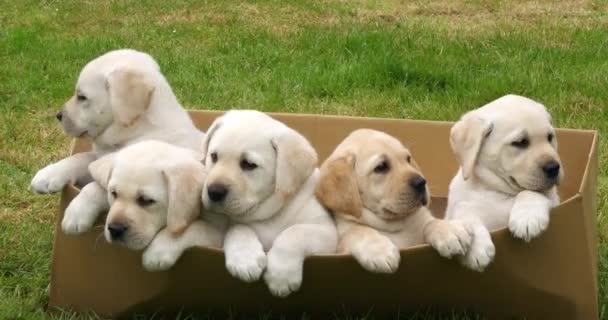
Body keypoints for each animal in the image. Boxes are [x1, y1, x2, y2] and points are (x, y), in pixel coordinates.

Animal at [31, 49, 202, 235]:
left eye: (82, 97)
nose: (58, 116)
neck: (138, 130)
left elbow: (97, 187)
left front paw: (76, 212)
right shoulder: (100, 158)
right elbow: (80, 158)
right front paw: (48, 175)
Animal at [87, 141, 226, 268]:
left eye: (146, 200)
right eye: (113, 193)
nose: (114, 229)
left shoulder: (217, 232)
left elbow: (194, 227)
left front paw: (159, 250)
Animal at [203, 110, 338, 298]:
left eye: (249, 164)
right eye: (214, 156)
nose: (214, 192)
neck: (270, 212)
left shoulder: (326, 232)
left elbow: (294, 232)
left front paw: (281, 275)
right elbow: (238, 228)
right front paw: (245, 259)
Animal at [316, 129, 472, 274]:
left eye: (408, 159)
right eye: (381, 167)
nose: (421, 182)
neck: (394, 223)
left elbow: (430, 222)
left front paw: (449, 231)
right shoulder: (343, 241)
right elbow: (359, 231)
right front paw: (380, 250)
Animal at [446, 94, 560, 272]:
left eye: (550, 137)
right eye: (520, 142)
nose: (554, 168)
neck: (498, 191)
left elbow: (530, 191)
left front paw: (527, 219)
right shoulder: (458, 207)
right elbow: (465, 213)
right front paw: (476, 249)